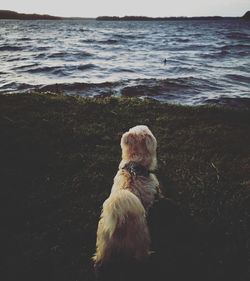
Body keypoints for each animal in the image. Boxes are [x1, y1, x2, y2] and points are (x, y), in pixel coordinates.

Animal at [92, 125, 160, 274]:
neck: (134, 164)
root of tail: (120, 222)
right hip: (141, 236)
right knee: (141, 254)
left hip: (103, 240)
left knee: (101, 258)